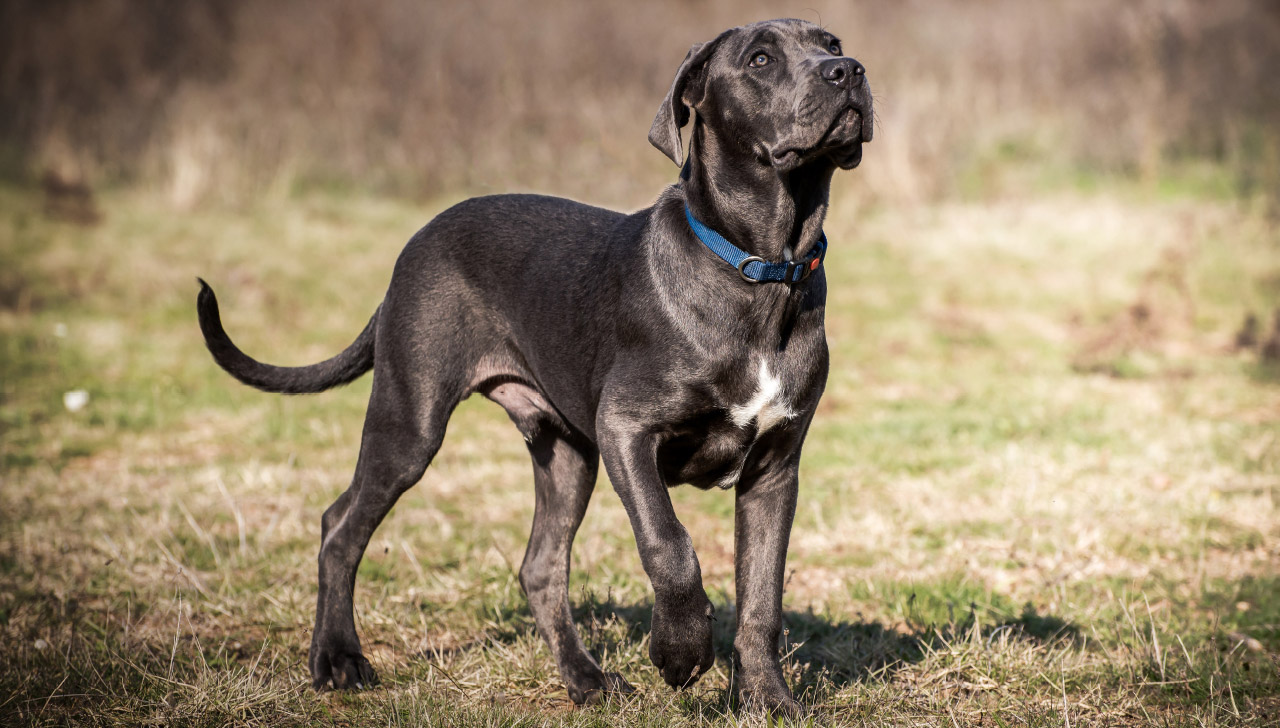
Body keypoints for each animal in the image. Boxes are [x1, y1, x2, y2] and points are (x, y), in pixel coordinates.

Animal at [194, 17, 875, 716]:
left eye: (829, 42)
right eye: (760, 60)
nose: (848, 71)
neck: (762, 269)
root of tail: (414, 246)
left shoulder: (774, 467)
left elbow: (763, 594)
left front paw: (768, 700)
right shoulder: (627, 429)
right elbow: (669, 543)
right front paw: (680, 652)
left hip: (566, 453)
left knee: (539, 565)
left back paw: (587, 679)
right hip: (411, 420)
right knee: (342, 525)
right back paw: (338, 661)